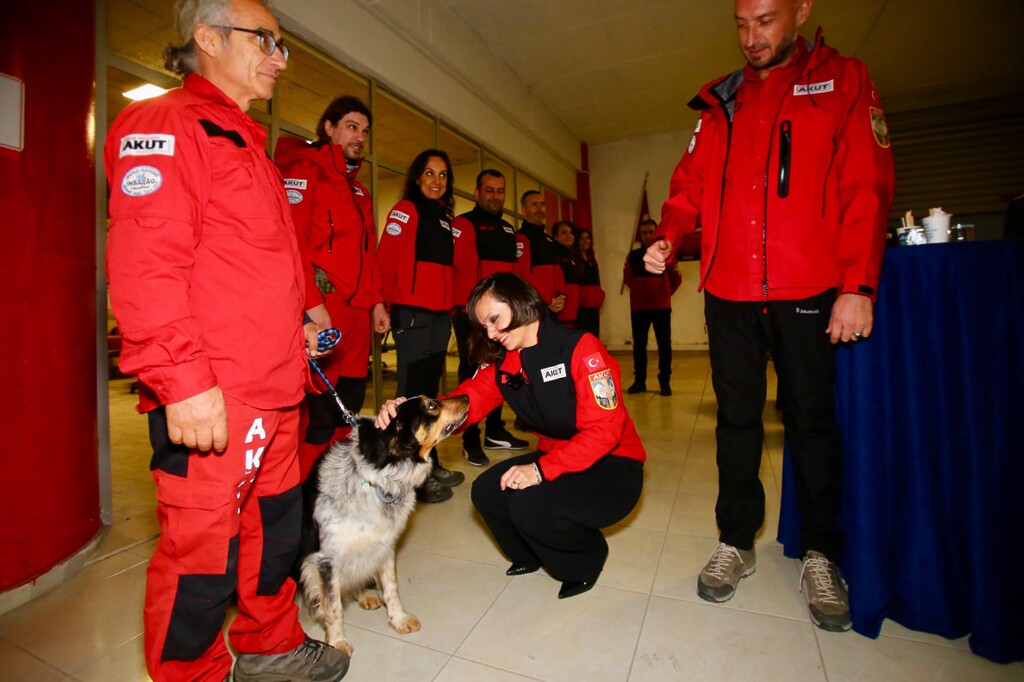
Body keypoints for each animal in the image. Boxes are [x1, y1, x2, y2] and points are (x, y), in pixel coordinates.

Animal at [299, 393, 468, 655]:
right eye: (431, 405)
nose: (467, 396)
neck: (378, 483)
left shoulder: (384, 544)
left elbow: (391, 586)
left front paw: (398, 619)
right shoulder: (326, 560)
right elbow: (333, 606)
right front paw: (337, 642)